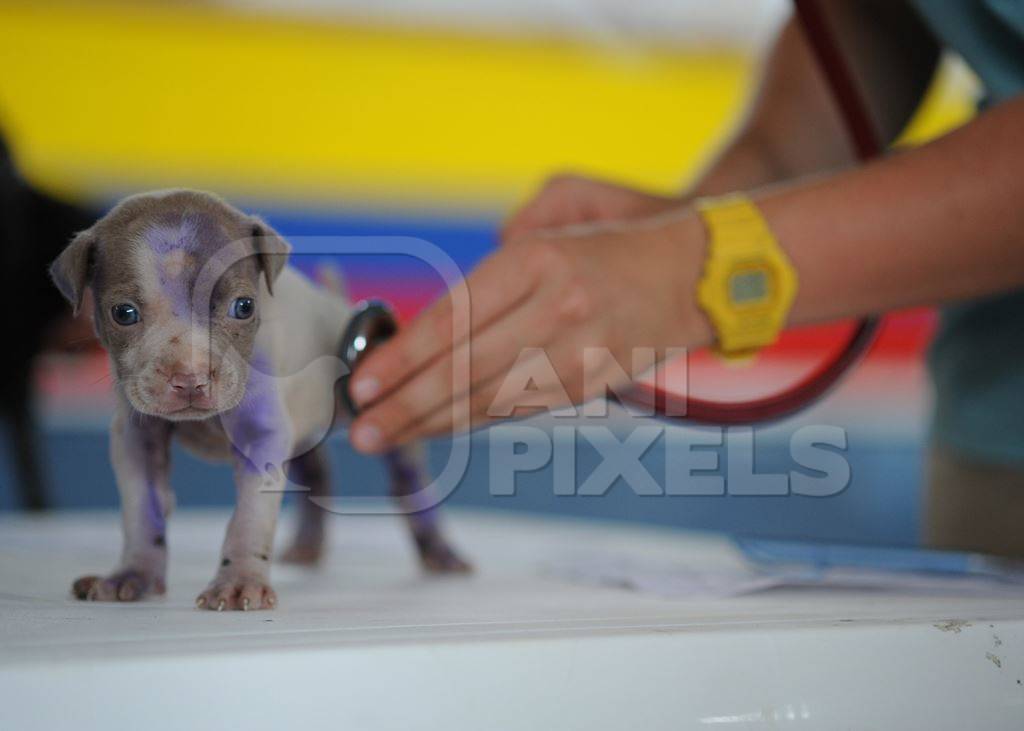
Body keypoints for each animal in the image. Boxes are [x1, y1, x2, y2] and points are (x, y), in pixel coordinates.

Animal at [51, 189, 471, 610]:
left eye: (244, 306)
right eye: (124, 313)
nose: (190, 378)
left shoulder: (261, 436)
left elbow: (249, 517)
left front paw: (238, 581)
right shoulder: (136, 439)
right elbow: (142, 510)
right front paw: (133, 574)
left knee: (408, 482)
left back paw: (441, 552)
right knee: (317, 471)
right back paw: (307, 546)